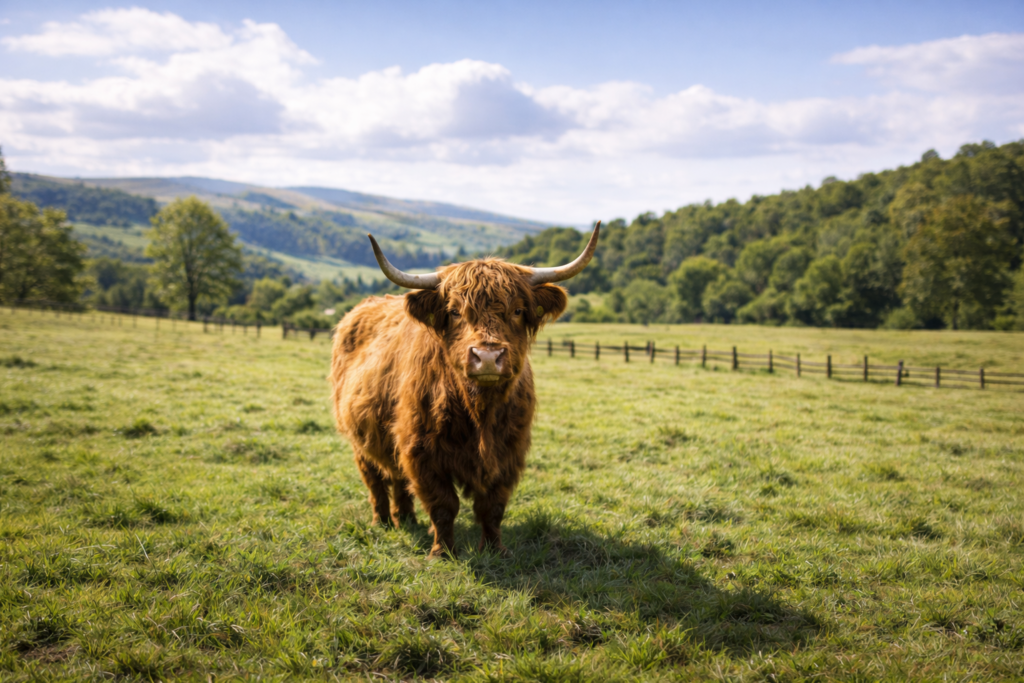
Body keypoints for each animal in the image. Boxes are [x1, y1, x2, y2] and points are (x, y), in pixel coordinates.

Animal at [329, 224, 600, 558]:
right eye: (455, 312)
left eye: (518, 310)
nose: (488, 356)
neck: (479, 411)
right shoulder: (420, 449)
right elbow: (444, 505)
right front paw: (442, 551)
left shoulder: (508, 452)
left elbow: (492, 507)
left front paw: (495, 549)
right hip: (359, 439)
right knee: (376, 480)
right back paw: (383, 521)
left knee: (399, 480)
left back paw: (407, 518)